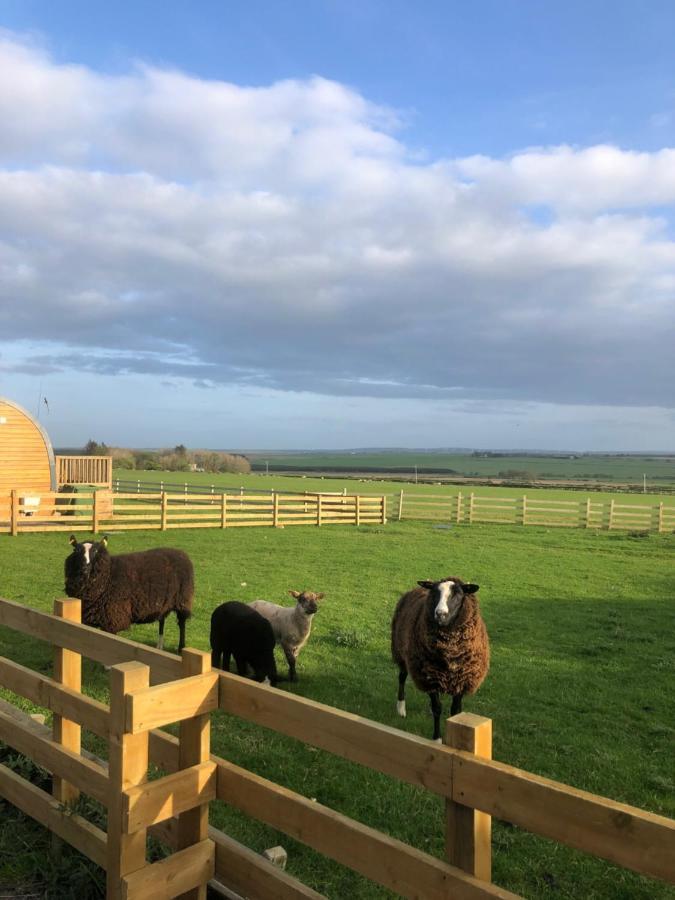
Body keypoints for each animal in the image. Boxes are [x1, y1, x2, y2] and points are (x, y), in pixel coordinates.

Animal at [63, 536, 194, 652]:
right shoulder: (89, 619)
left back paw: (181, 648)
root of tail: (180, 552)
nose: (85, 568)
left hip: (183, 600)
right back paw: (159, 646)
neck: (109, 575)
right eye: (76, 550)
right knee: (162, 619)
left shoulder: (113, 619)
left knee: (182, 624)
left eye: (95, 551)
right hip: (163, 602)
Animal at [390, 580, 492, 740]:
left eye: (458, 594)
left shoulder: (462, 679)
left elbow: (455, 711)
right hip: (401, 651)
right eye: (435, 593)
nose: (440, 614)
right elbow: (437, 709)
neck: (450, 653)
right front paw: (437, 739)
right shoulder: (430, 678)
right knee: (401, 678)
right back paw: (401, 708)